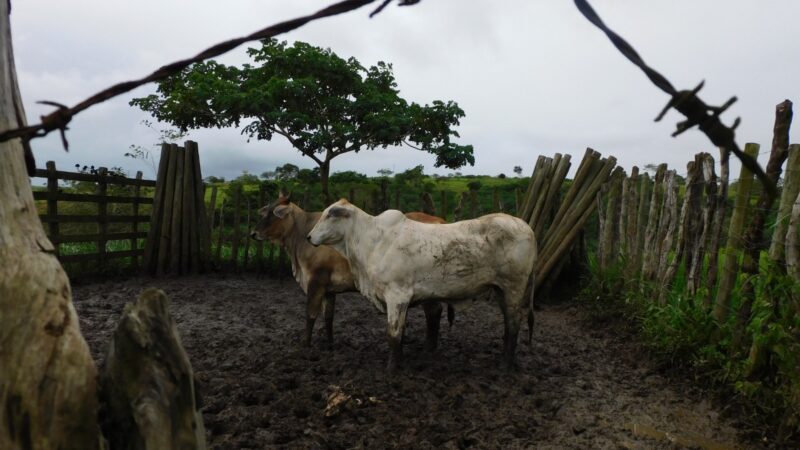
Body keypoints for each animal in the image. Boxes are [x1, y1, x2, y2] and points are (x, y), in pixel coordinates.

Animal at [250, 194, 450, 348]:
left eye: (273, 214)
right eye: (265, 211)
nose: (253, 233)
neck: (301, 236)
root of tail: (439, 220)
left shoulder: (316, 282)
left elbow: (310, 314)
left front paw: (305, 344)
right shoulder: (329, 290)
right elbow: (328, 317)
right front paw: (330, 344)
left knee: (434, 311)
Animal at [306, 200, 536, 370]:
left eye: (329, 215)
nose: (309, 237)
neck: (372, 242)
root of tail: (527, 228)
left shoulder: (396, 296)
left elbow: (393, 333)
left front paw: (392, 368)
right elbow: (403, 331)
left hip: (513, 287)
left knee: (514, 322)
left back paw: (505, 364)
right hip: (500, 289)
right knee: (508, 323)